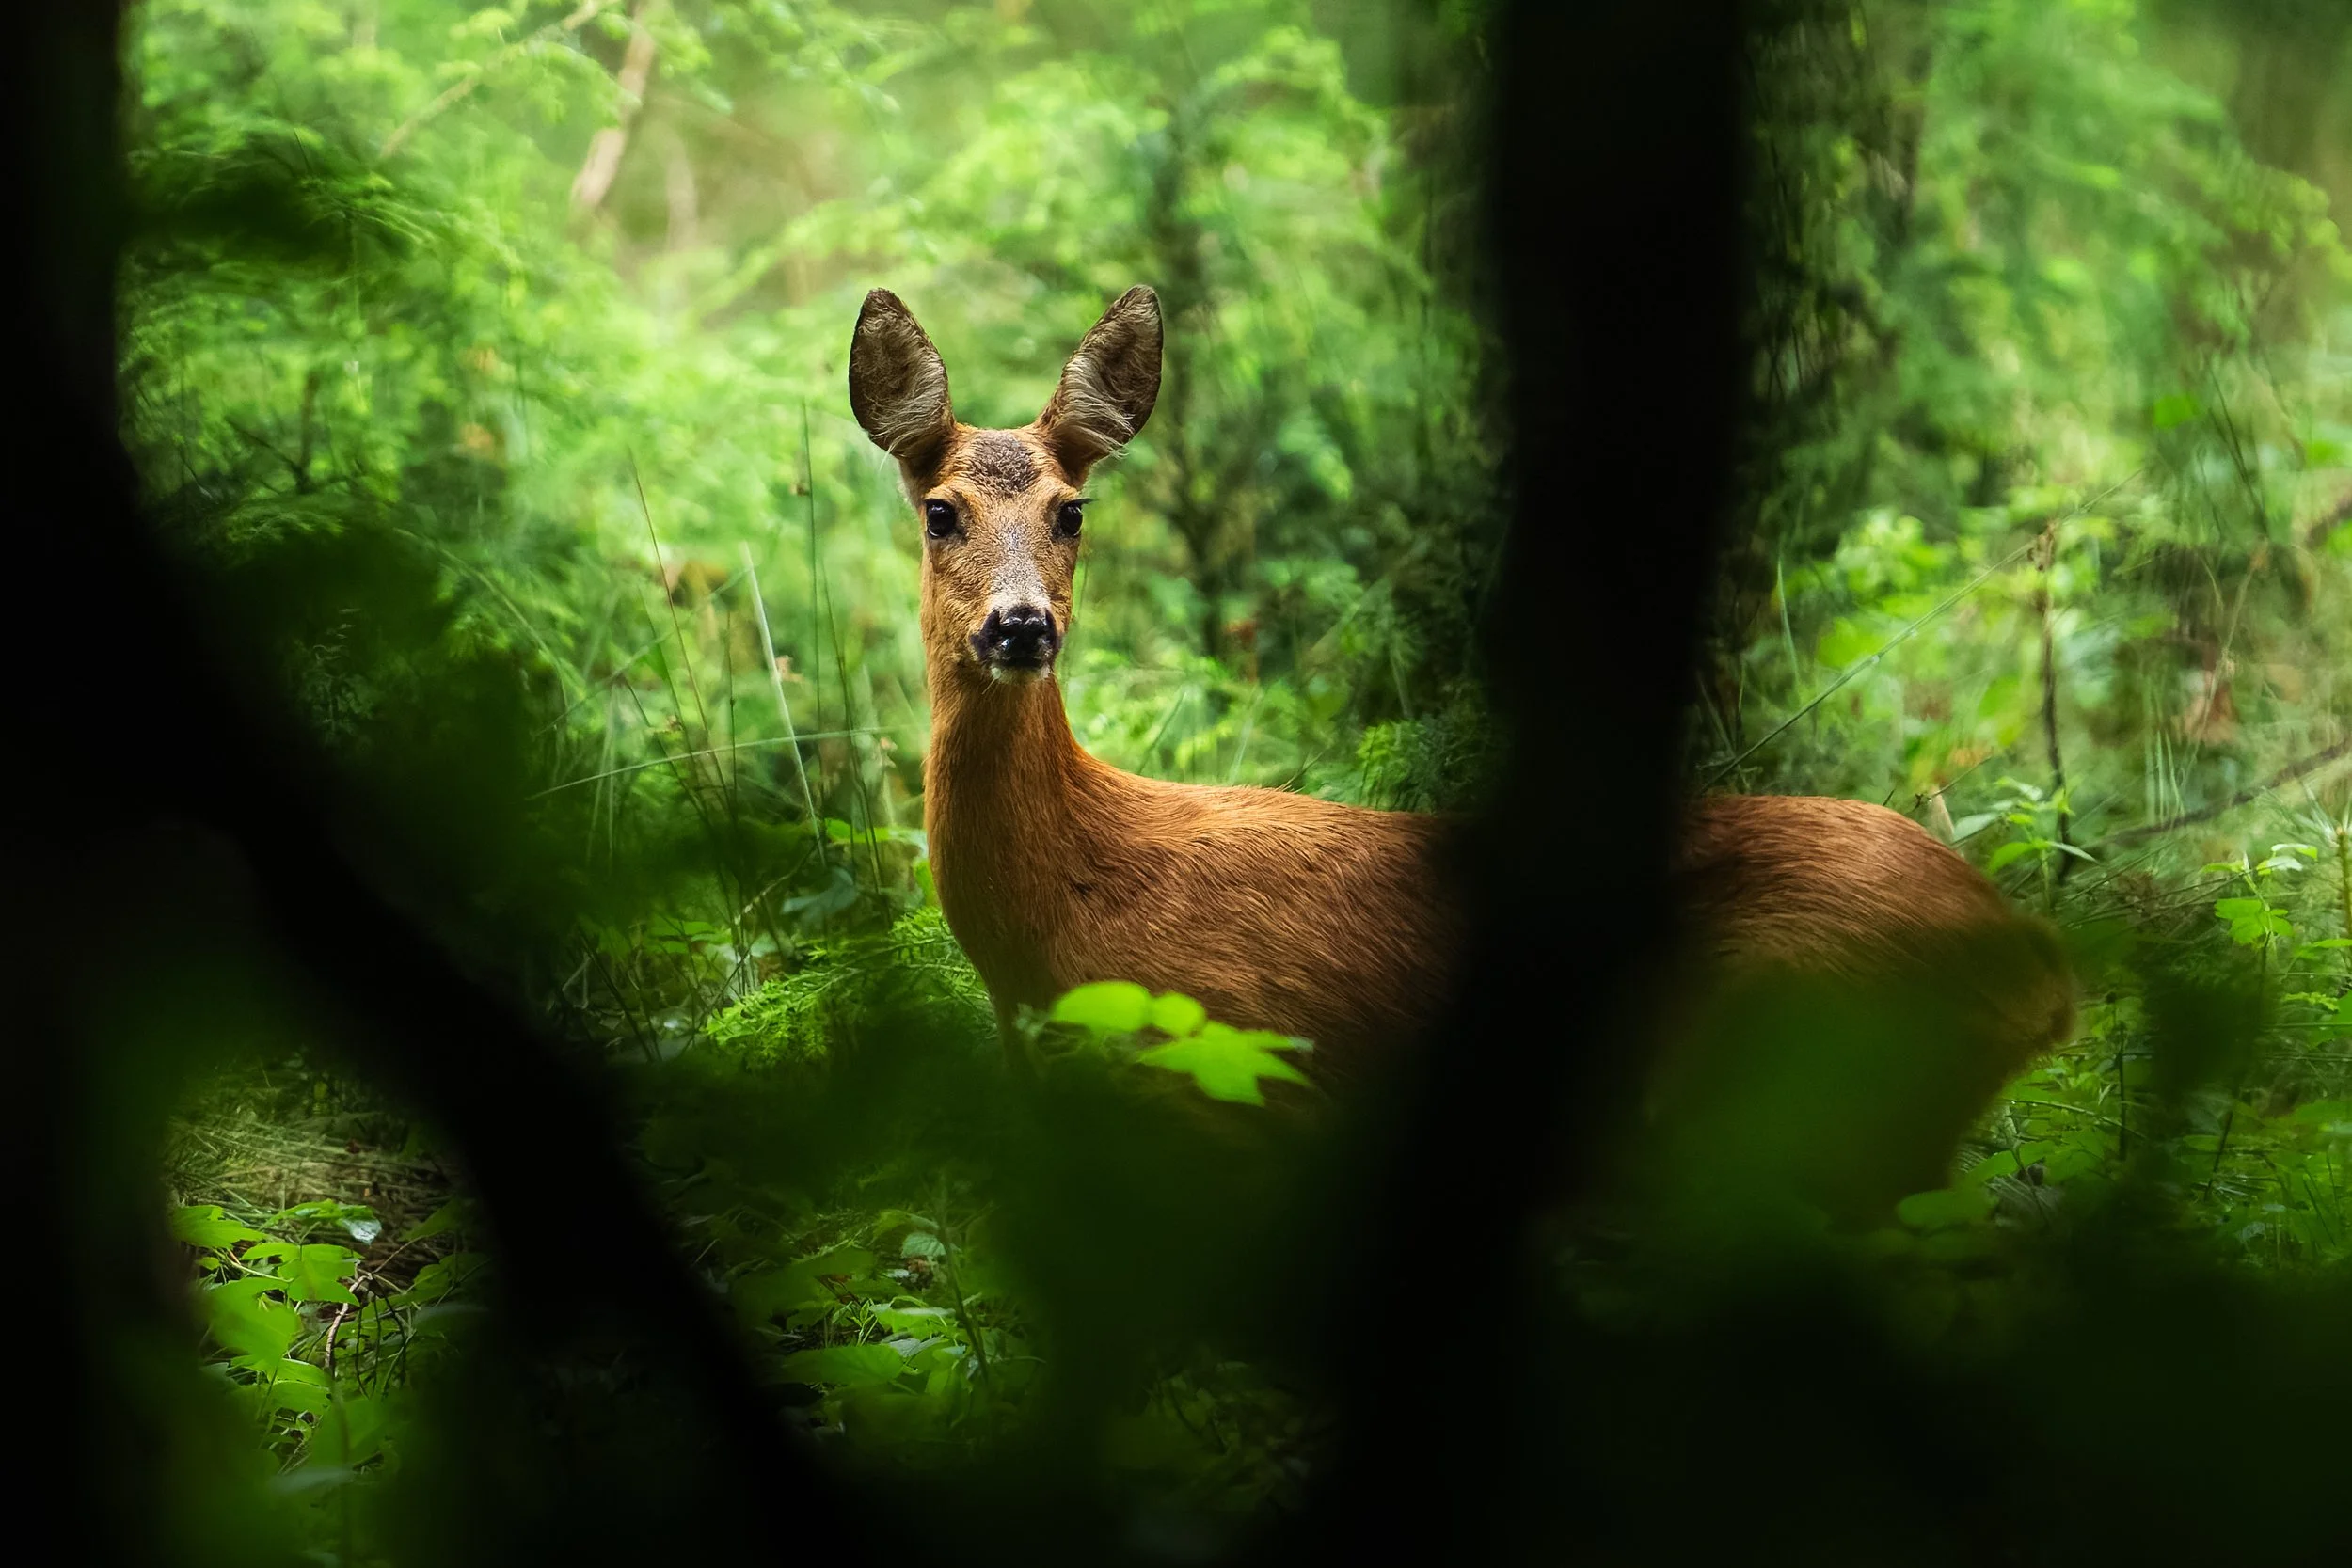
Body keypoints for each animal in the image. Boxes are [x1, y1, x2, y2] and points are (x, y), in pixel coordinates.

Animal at [846, 285, 2075, 1195]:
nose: (1019, 625)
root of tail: (2034, 968)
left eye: (1072, 509)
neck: (1066, 900)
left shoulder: (1232, 1081)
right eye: (941, 509)